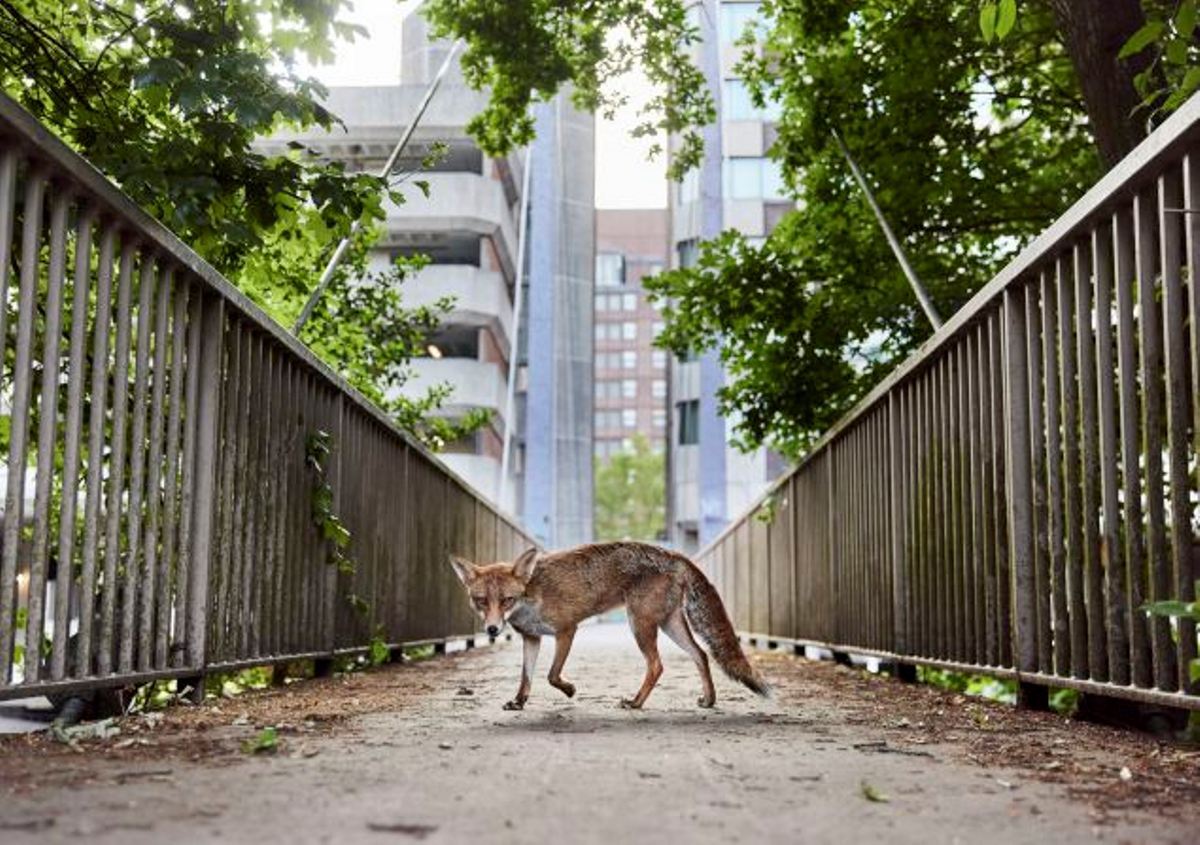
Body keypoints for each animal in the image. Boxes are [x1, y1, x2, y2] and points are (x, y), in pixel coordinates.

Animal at [448, 537, 768, 710]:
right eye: (480, 601)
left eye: (506, 600)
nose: (492, 629)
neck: (532, 596)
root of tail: (673, 554)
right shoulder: (532, 638)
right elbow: (526, 678)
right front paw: (519, 702)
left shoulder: (567, 630)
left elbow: (551, 675)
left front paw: (570, 690)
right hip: (669, 625)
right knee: (701, 655)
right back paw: (709, 699)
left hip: (640, 624)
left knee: (657, 665)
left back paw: (636, 703)